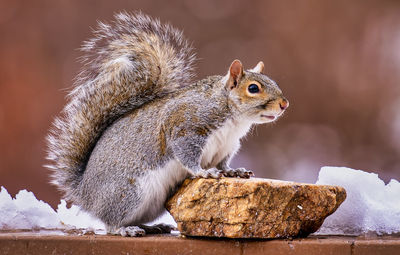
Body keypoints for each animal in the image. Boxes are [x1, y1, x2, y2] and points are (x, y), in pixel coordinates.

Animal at [46, 10, 288, 236]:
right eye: (253, 88)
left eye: (274, 82)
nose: (284, 104)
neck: (233, 117)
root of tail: (85, 194)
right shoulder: (186, 128)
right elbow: (187, 155)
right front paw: (203, 172)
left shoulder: (228, 145)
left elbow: (223, 163)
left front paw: (234, 171)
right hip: (128, 194)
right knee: (111, 222)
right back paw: (125, 229)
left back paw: (153, 226)